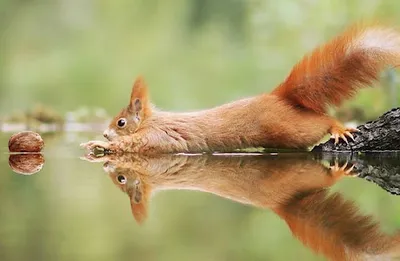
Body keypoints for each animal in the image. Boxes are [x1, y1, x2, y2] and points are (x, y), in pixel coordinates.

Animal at [80, 25, 400, 153]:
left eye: (121, 123)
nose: (105, 133)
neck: (153, 121)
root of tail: (277, 96)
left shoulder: (157, 138)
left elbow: (134, 146)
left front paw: (98, 144)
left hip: (288, 128)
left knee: (320, 122)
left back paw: (338, 127)